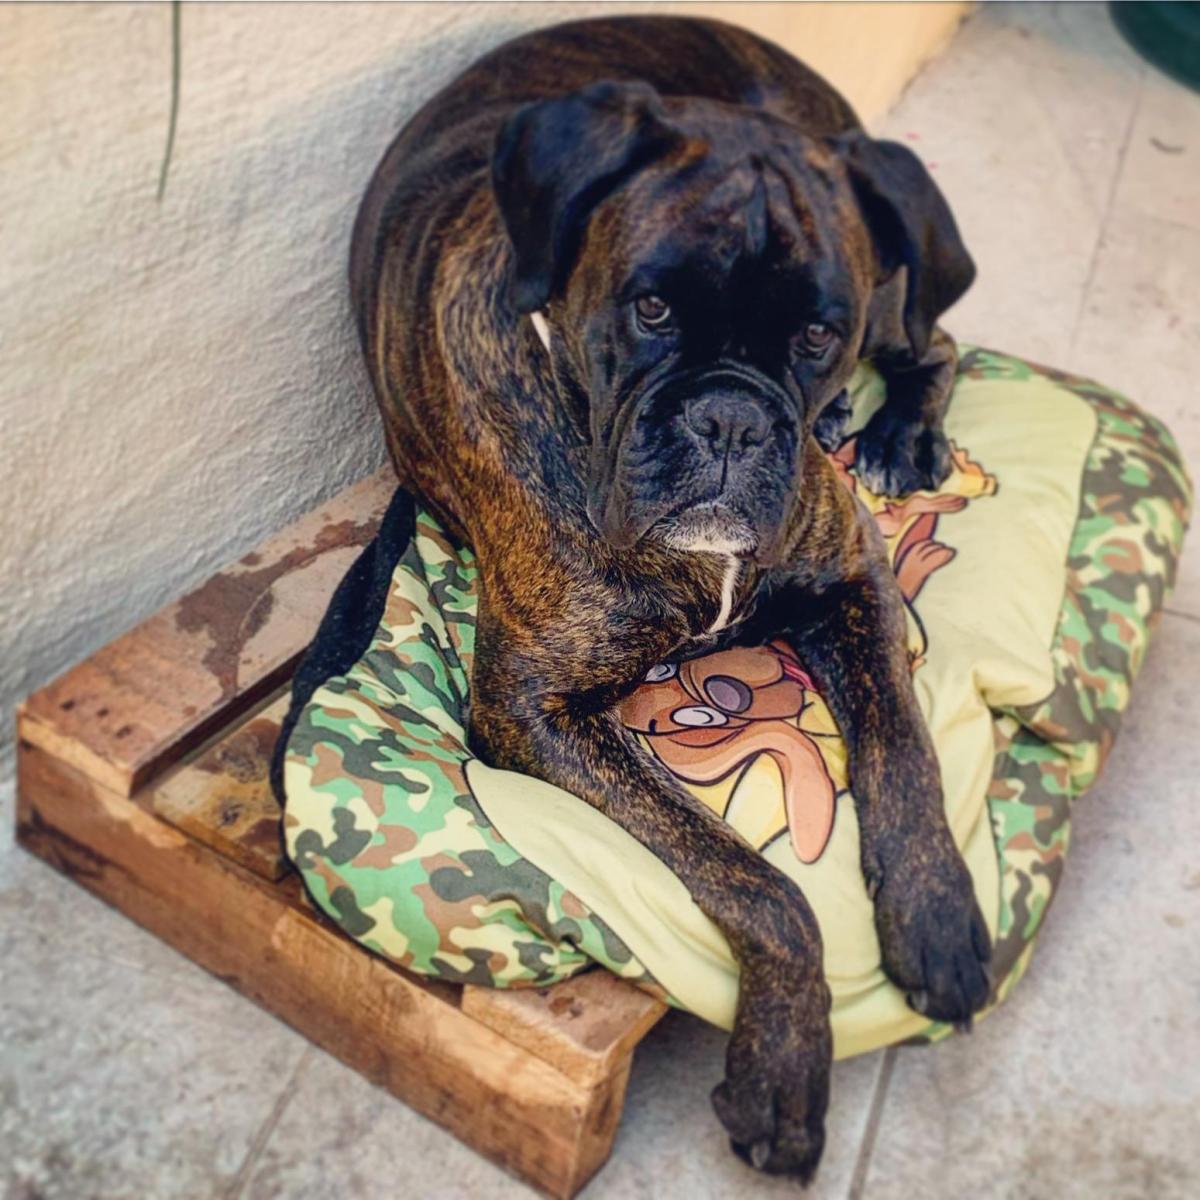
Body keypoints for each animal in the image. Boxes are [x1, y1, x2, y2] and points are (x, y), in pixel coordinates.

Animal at [350, 15, 990, 1180]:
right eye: (650, 308)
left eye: (813, 336)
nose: (731, 420)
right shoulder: (535, 709)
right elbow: (758, 884)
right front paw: (783, 1069)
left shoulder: (854, 579)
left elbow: (902, 746)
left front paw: (936, 915)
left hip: (899, 299)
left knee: (938, 338)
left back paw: (896, 431)